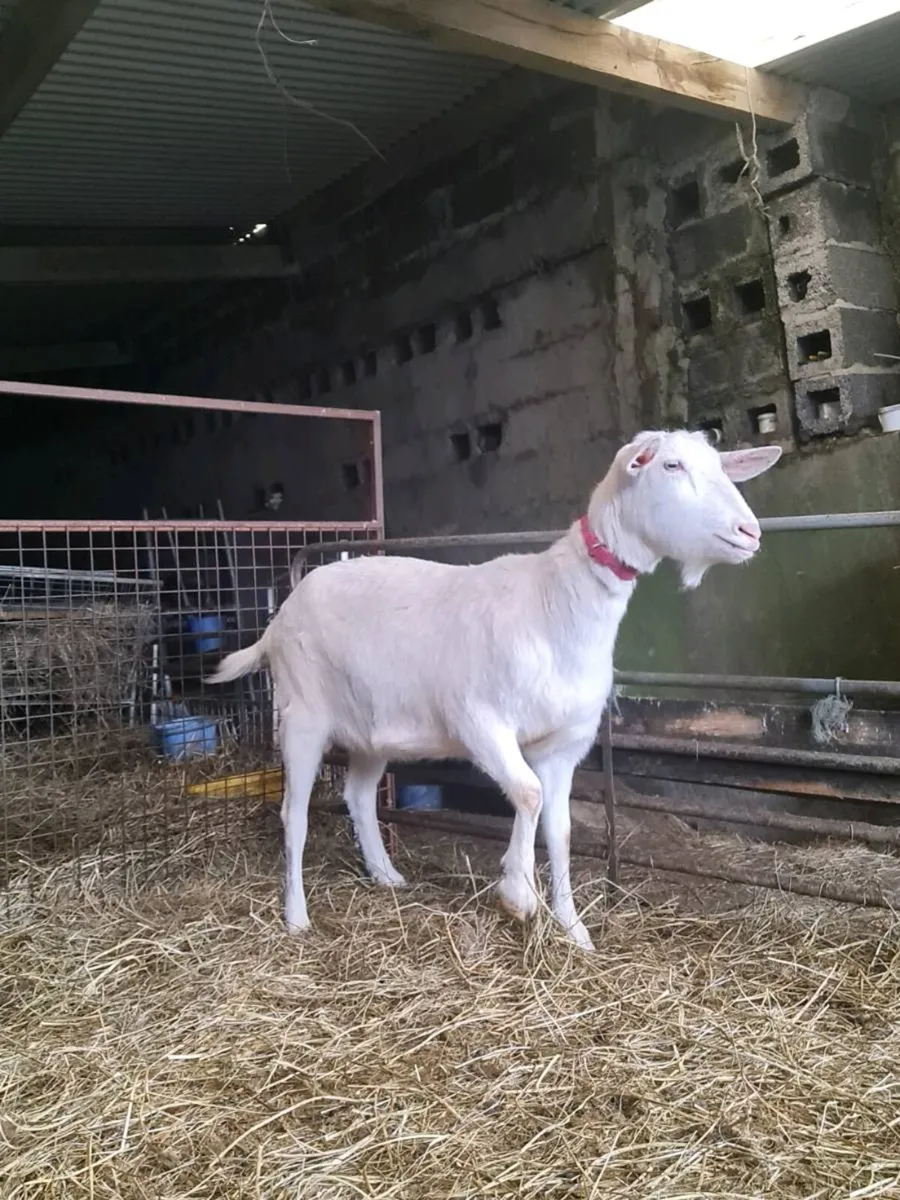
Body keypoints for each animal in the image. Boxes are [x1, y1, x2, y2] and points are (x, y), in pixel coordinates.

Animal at [207, 429, 781, 950]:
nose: (749, 531)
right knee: (295, 815)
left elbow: (561, 830)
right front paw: (518, 893)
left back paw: (386, 875)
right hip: (301, 712)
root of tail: (279, 619)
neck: (556, 603)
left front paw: (573, 929)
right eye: (670, 465)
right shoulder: (479, 720)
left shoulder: (563, 745)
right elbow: (527, 794)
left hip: (373, 725)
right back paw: (296, 916)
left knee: (360, 796)